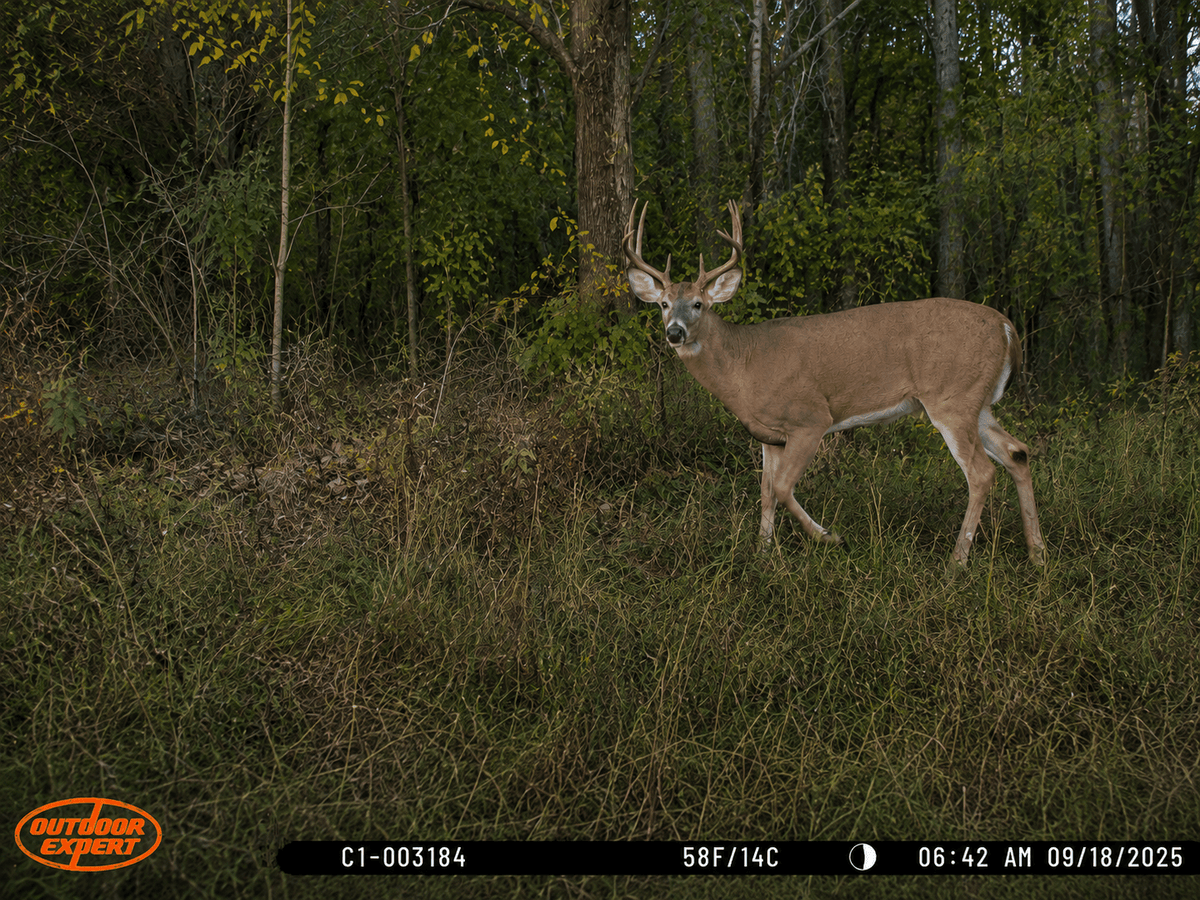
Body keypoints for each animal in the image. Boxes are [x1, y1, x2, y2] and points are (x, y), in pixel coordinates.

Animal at [624, 200, 1046, 566]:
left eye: (698, 304)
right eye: (663, 304)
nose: (675, 333)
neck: (743, 366)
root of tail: (1007, 328)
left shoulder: (810, 418)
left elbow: (782, 488)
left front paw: (829, 537)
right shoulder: (768, 436)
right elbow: (765, 492)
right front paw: (764, 554)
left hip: (951, 398)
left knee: (981, 472)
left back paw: (957, 562)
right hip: (977, 401)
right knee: (1017, 452)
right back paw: (1037, 554)